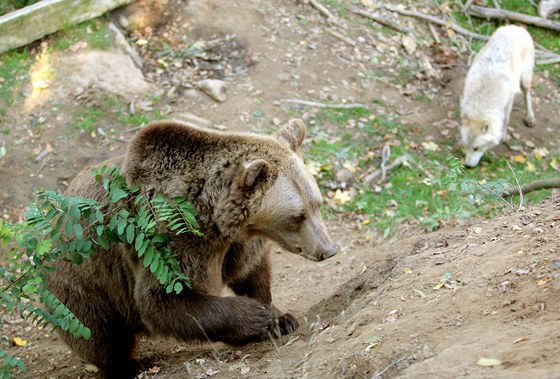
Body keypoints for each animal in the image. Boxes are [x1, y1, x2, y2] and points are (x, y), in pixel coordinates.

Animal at [46, 119, 334, 379]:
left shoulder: (236, 243)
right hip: (84, 282)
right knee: (101, 336)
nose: (328, 249)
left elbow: (250, 272)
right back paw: (126, 367)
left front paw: (280, 319)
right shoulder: (172, 240)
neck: (213, 219)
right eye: (297, 216)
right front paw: (257, 317)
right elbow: (163, 300)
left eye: (317, 203)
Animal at [460, 25, 540, 168]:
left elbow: (506, 119)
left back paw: (530, 117)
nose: (468, 166)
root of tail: (517, 27)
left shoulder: (508, 100)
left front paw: (503, 135)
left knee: (527, 94)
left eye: (476, 148)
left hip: (524, 79)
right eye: (466, 146)